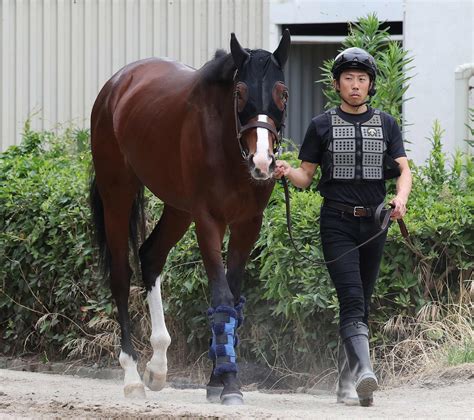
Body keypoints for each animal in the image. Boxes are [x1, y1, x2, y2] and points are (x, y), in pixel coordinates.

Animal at [88, 31, 288, 406]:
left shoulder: (247, 224)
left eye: (282, 92)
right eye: (239, 93)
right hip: (117, 194)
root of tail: (118, 84)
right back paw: (133, 377)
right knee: (120, 276)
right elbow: (221, 297)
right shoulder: (208, 221)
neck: (229, 149)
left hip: (178, 209)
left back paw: (157, 367)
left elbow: (233, 300)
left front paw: (217, 380)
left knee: (151, 256)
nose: (263, 162)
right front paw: (229, 384)